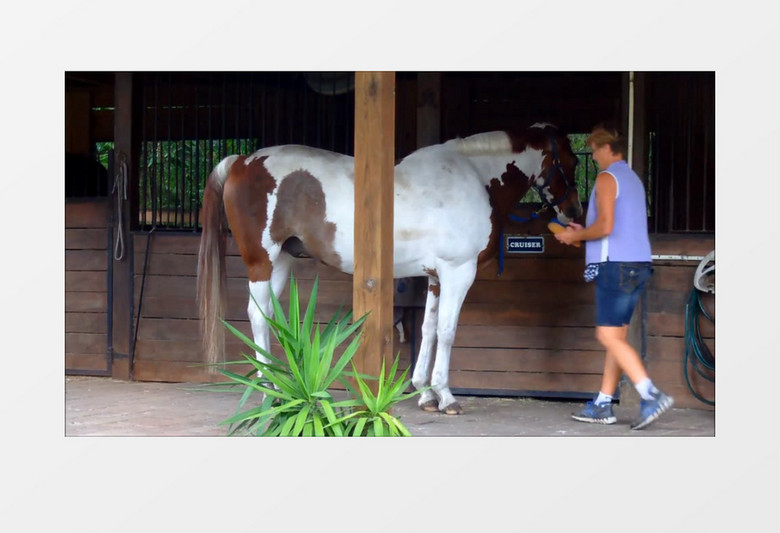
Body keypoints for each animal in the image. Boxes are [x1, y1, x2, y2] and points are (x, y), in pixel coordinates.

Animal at [198, 122, 580, 414]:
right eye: (573, 160)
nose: (574, 212)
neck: (474, 177)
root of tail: (242, 161)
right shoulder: (458, 271)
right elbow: (447, 332)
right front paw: (446, 397)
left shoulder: (436, 277)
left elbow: (428, 329)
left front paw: (425, 394)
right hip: (262, 261)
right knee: (258, 315)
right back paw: (268, 391)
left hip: (282, 261)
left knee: (266, 315)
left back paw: (278, 388)